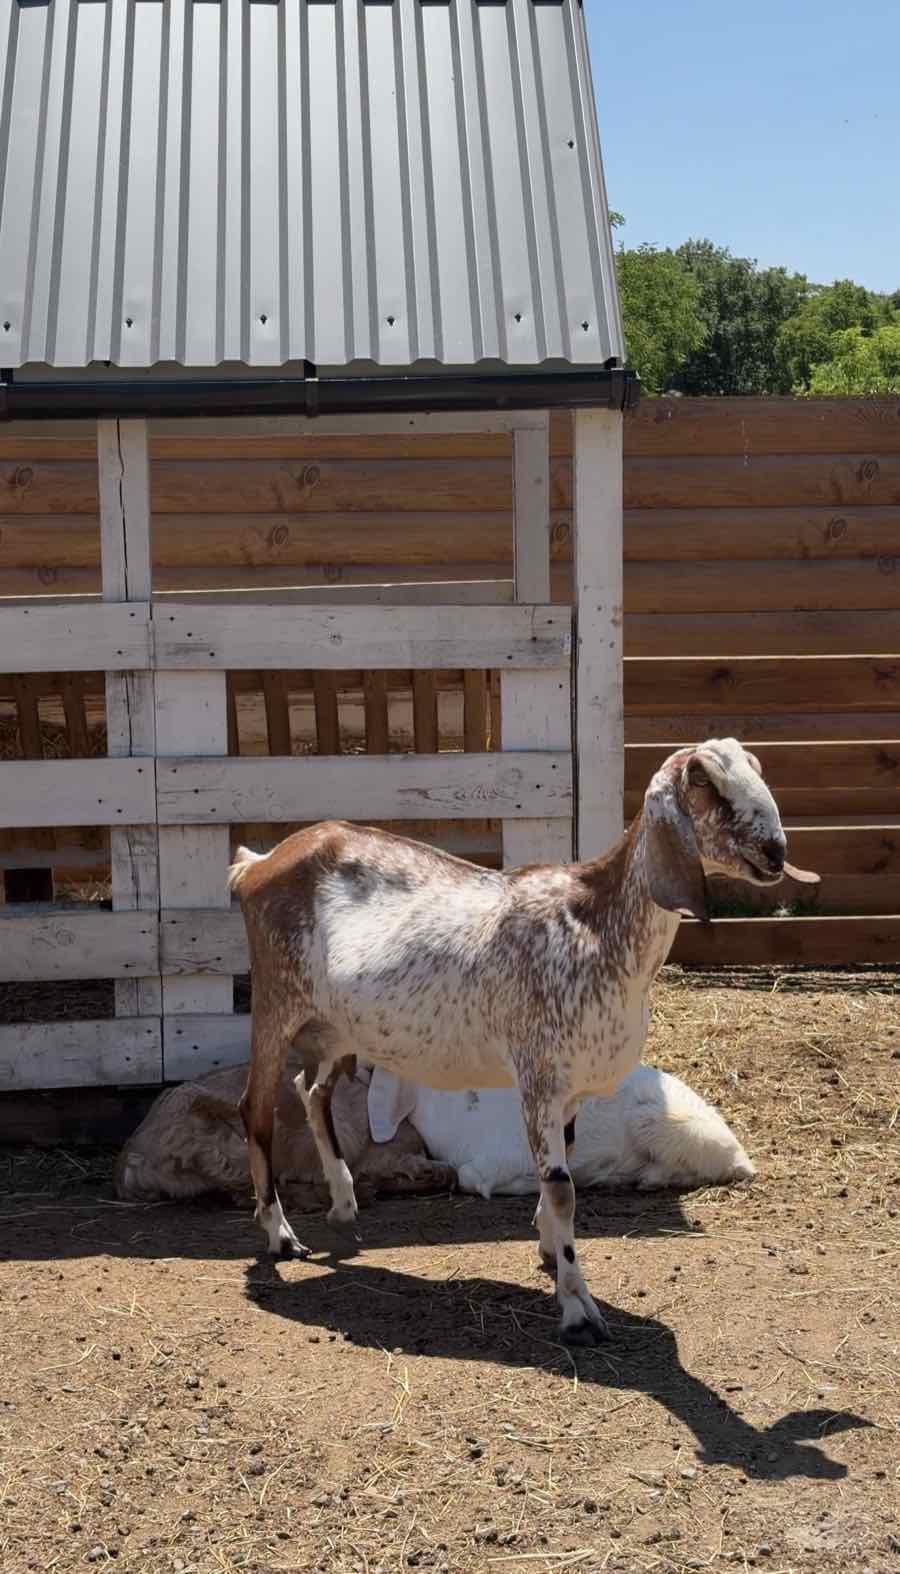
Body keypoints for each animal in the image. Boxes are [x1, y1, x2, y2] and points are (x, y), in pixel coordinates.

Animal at [230, 738, 818, 1346]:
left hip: (335, 1028)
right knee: (256, 1108)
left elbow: (564, 1169)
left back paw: (344, 1203)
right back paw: (280, 1234)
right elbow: (562, 1189)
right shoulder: (539, 1074)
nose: (775, 851)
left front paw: (548, 1249)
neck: (594, 923)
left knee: (311, 1090)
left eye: (756, 769)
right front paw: (578, 1307)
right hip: (276, 1001)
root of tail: (256, 865)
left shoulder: (570, 1089)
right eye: (703, 781)